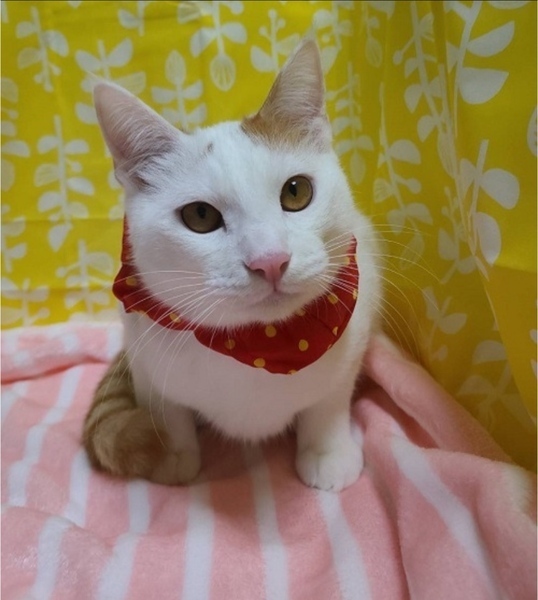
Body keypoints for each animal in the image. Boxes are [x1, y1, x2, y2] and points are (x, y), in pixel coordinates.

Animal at [83, 39, 382, 492]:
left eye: (296, 192)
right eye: (200, 216)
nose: (270, 260)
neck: (260, 345)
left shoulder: (354, 332)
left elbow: (329, 401)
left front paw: (327, 451)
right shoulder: (144, 356)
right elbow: (167, 410)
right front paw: (173, 454)